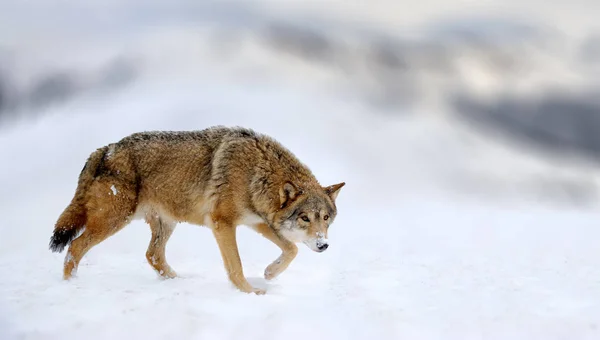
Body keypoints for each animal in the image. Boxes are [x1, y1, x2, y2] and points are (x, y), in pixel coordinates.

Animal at [49, 126, 344, 294]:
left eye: (325, 218)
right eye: (305, 218)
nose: (323, 245)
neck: (257, 173)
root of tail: (104, 150)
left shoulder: (257, 221)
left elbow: (291, 249)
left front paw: (270, 273)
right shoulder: (222, 223)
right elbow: (236, 266)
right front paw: (249, 292)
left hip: (165, 223)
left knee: (153, 255)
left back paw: (179, 282)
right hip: (114, 220)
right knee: (75, 246)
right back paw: (70, 286)